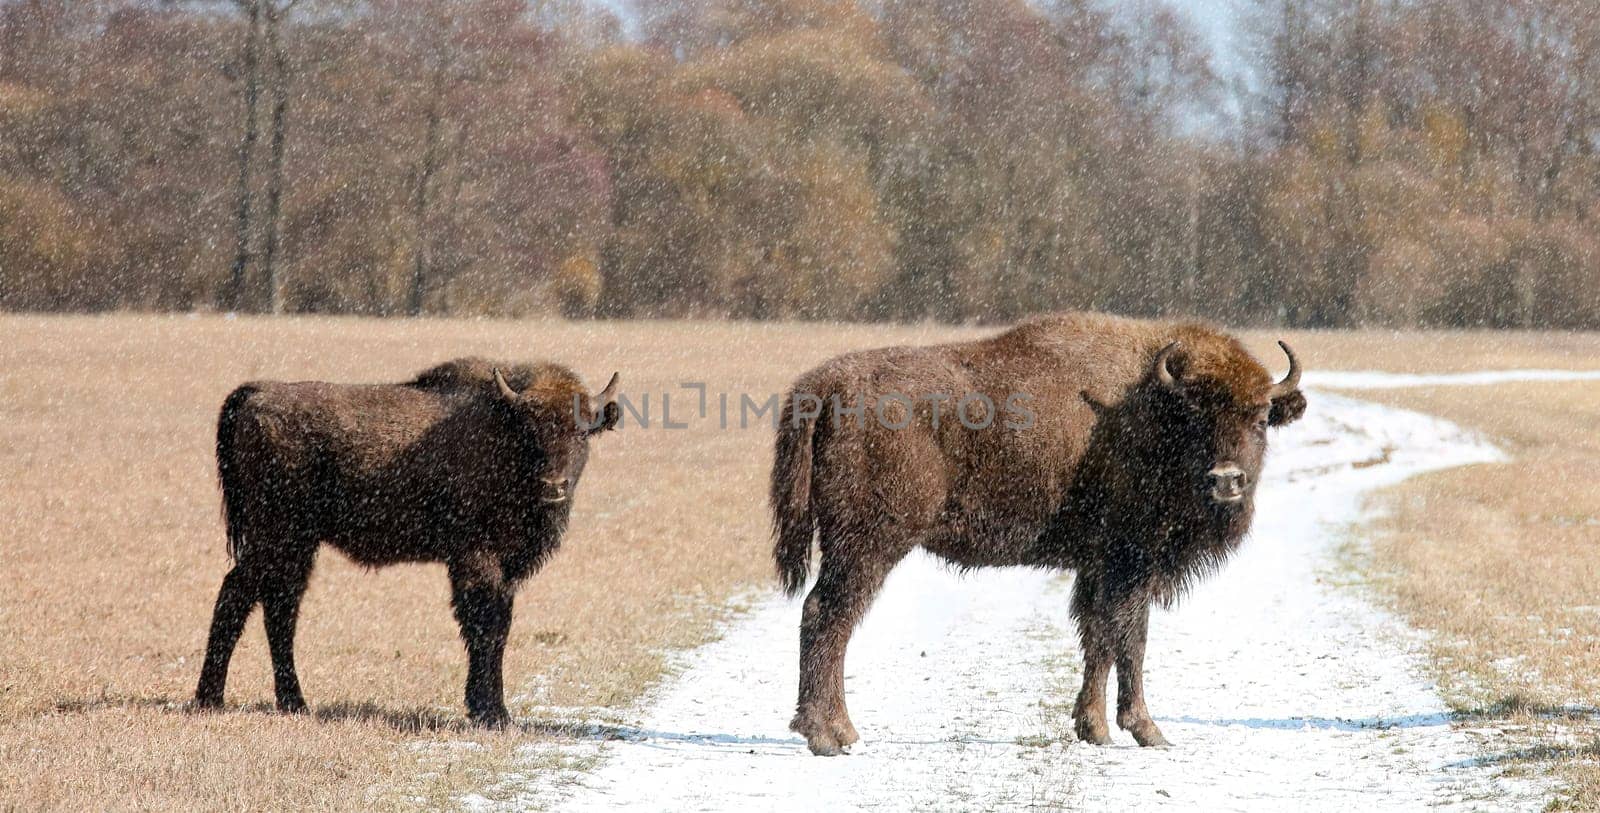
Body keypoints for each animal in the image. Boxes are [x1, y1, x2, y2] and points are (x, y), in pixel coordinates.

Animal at [196, 358, 620, 726]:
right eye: (530, 431)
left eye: (582, 431)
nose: (554, 486)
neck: (502, 433)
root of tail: (257, 392)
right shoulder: (477, 560)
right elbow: (484, 627)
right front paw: (493, 714)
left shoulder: (506, 569)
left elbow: (499, 627)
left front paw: (487, 709)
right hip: (277, 538)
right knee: (238, 595)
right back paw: (210, 700)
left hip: (296, 547)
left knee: (279, 609)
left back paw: (293, 703)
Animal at [768, 312, 1305, 755]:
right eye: (1195, 416)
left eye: (1261, 418)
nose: (1226, 480)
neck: (1149, 407)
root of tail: (824, 386)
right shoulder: (1131, 563)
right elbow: (1131, 638)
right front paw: (1147, 730)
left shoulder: (1099, 567)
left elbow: (1097, 637)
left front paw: (1093, 728)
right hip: (868, 546)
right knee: (828, 617)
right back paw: (830, 735)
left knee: (824, 617)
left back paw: (833, 731)